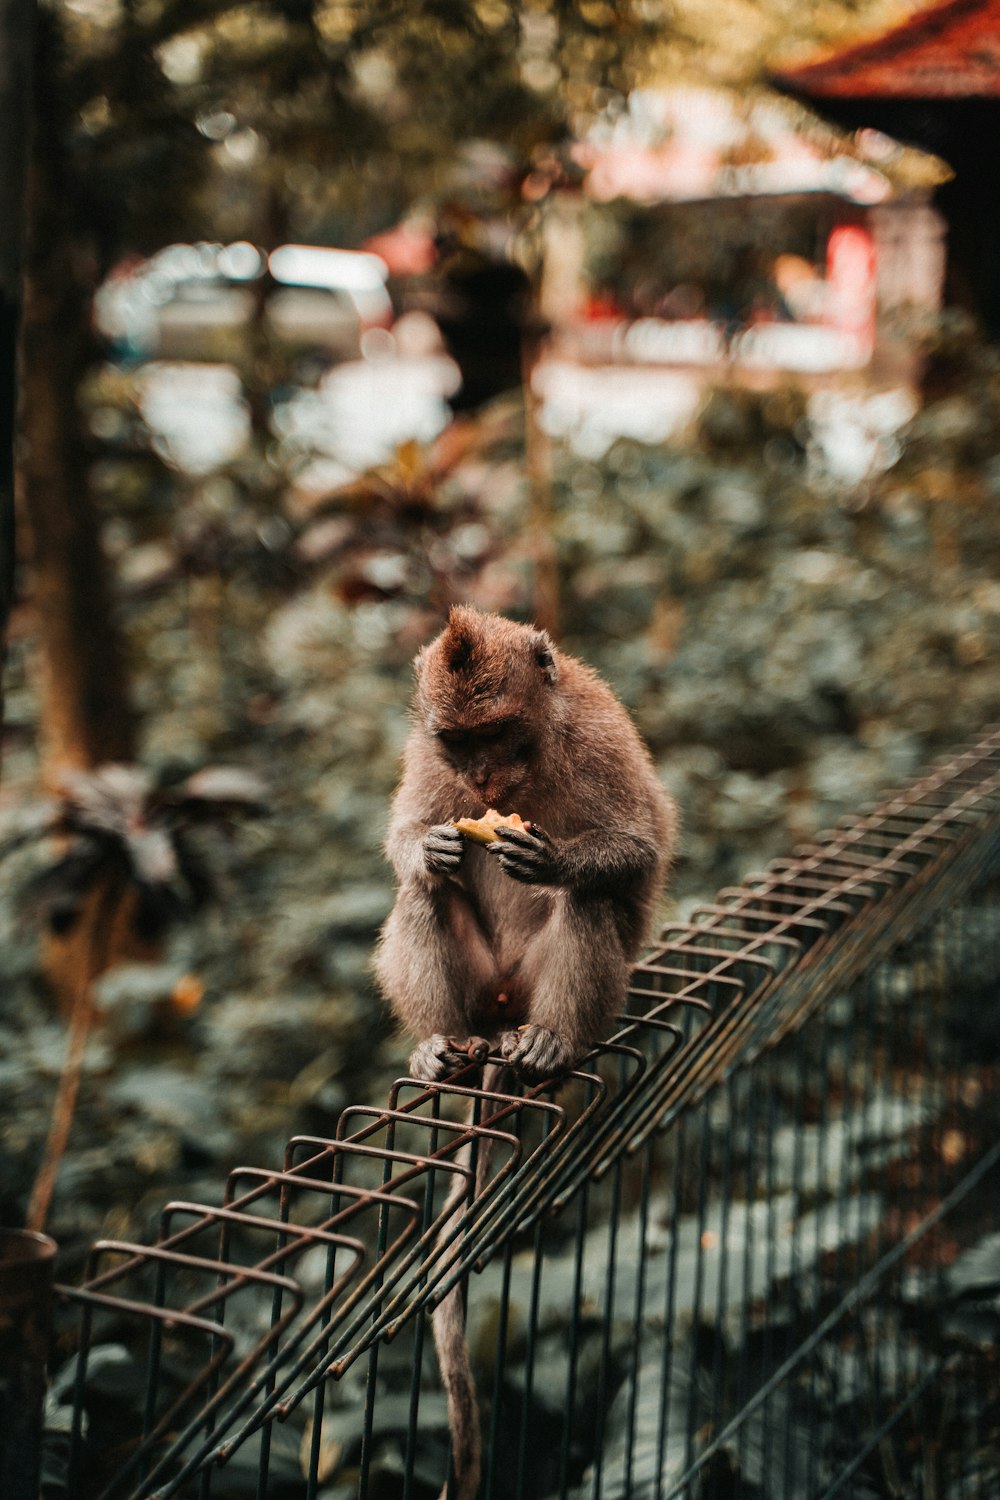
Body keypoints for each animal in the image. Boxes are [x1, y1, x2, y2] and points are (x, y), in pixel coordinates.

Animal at [374, 603, 680, 1086]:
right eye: (458, 739)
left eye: (494, 733)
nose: (480, 775)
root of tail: (504, 1013)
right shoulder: (426, 751)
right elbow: (406, 829)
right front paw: (428, 847)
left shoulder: (599, 735)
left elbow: (638, 848)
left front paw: (552, 861)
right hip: (481, 985)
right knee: (423, 891)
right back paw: (443, 1044)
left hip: (528, 986)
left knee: (586, 897)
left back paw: (551, 1039)